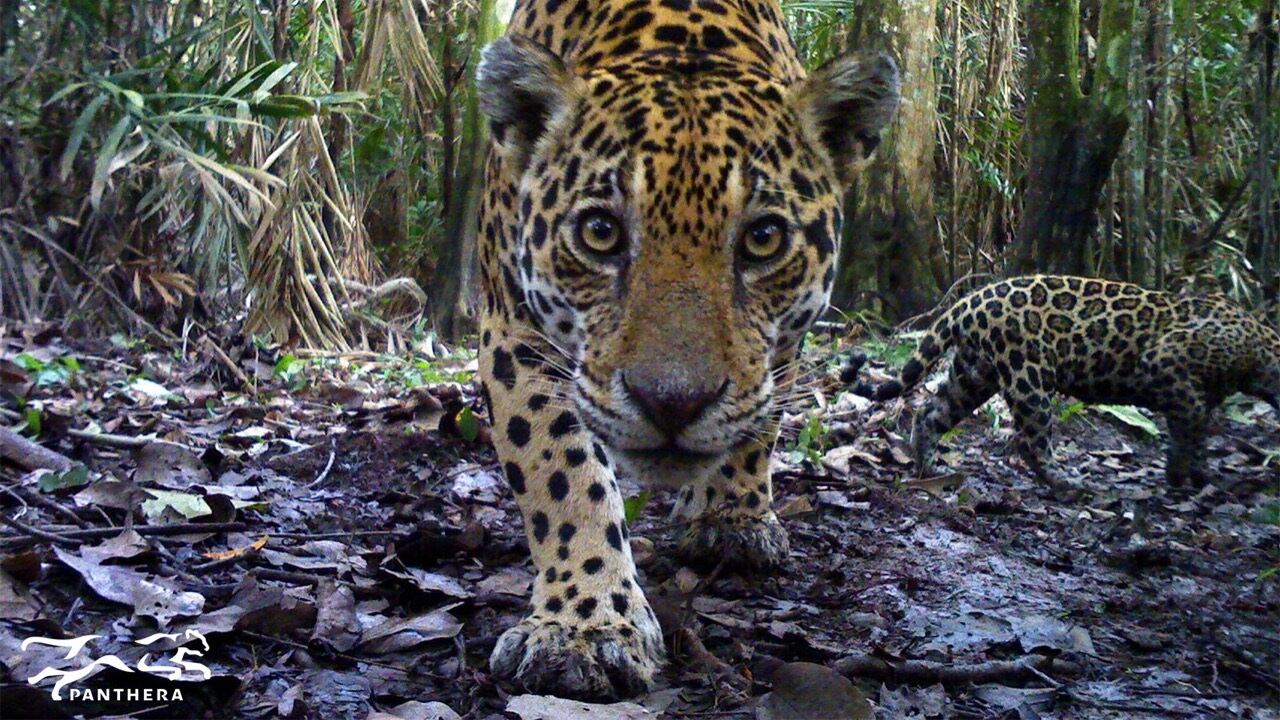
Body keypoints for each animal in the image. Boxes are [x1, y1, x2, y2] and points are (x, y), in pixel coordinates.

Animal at [470, 0, 900, 700]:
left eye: (763, 238)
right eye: (600, 231)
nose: (672, 402)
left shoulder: (779, 346)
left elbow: (759, 420)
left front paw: (733, 519)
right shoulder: (516, 334)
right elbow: (562, 474)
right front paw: (584, 625)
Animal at [843, 275, 1280, 486]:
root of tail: (969, 300)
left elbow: (1200, 429)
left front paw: (1201, 474)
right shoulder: (1166, 366)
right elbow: (1189, 426)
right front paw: (1180, 476)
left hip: (974, 375)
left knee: (933, 412)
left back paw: (927, 465)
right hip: (1028, 377)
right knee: (1033, 440)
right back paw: (1065, 482)